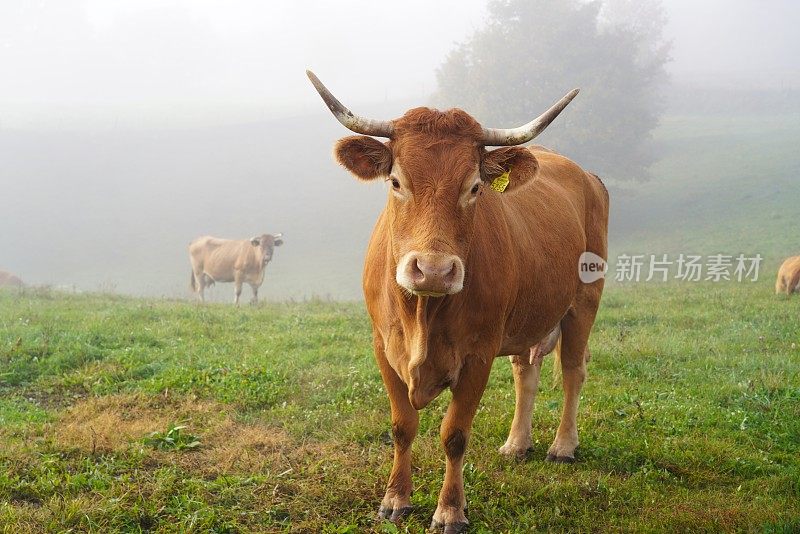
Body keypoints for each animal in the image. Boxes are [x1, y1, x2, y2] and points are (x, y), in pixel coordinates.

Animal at [310, 70, 608, 532]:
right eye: (396, 182)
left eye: (474, 187)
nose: (433, 270)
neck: (422, 314)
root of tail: (584, 173)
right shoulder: (382, 347)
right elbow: (402, 426)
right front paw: (395, 499)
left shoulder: (478, 355)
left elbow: (454, 434)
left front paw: (450, 509)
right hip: (525, 317)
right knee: (526, 371)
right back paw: (516, 443)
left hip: (584, 299)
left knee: (574, 370)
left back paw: (563, 446)